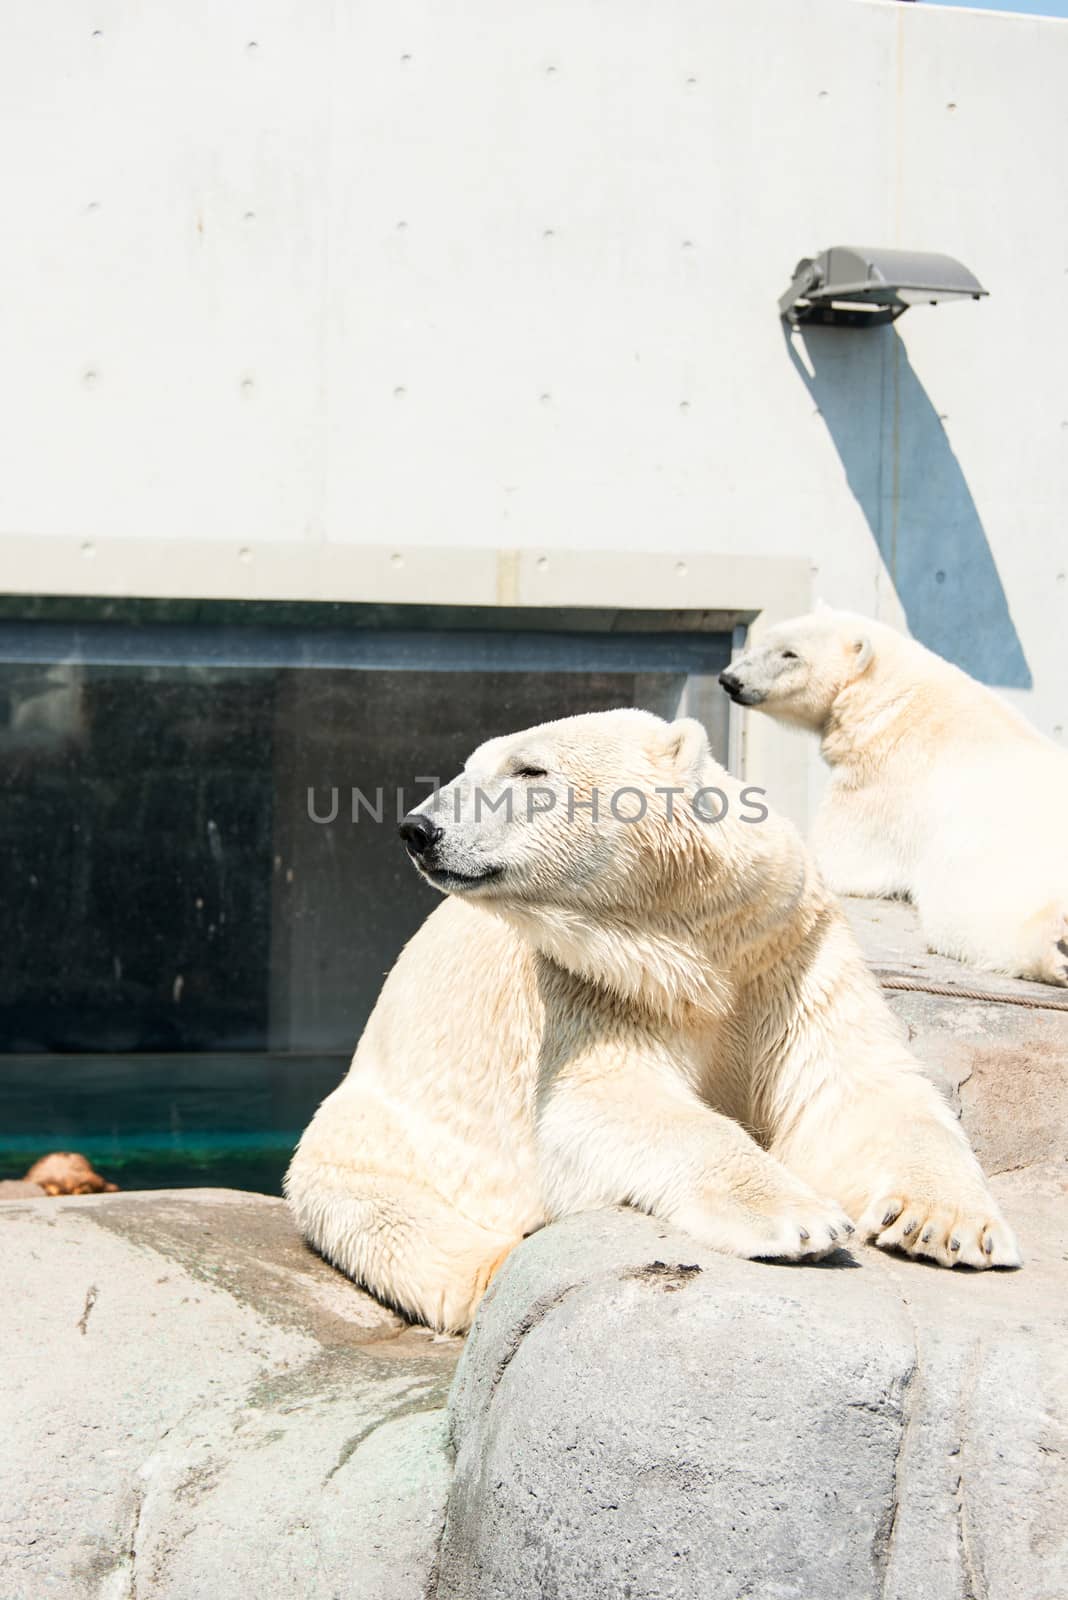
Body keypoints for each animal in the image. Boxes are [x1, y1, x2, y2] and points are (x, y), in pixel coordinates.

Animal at [282, 707, 1016, 1331]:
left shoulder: (789, 952)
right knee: (393, 1218)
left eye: (529, 770)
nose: (419, 829)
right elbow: (607, 1101)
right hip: (374, 1136)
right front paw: (800, 1219)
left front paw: (946, 1227)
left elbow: (857, 1089)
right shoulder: (594, 985)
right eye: (471, 767)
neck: (692, 944)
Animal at [716, 611, 1068, 985]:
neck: (888, 702)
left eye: (790, 654)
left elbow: (838, 856)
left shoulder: (879, 782)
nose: (730, 679)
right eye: (768, 640)